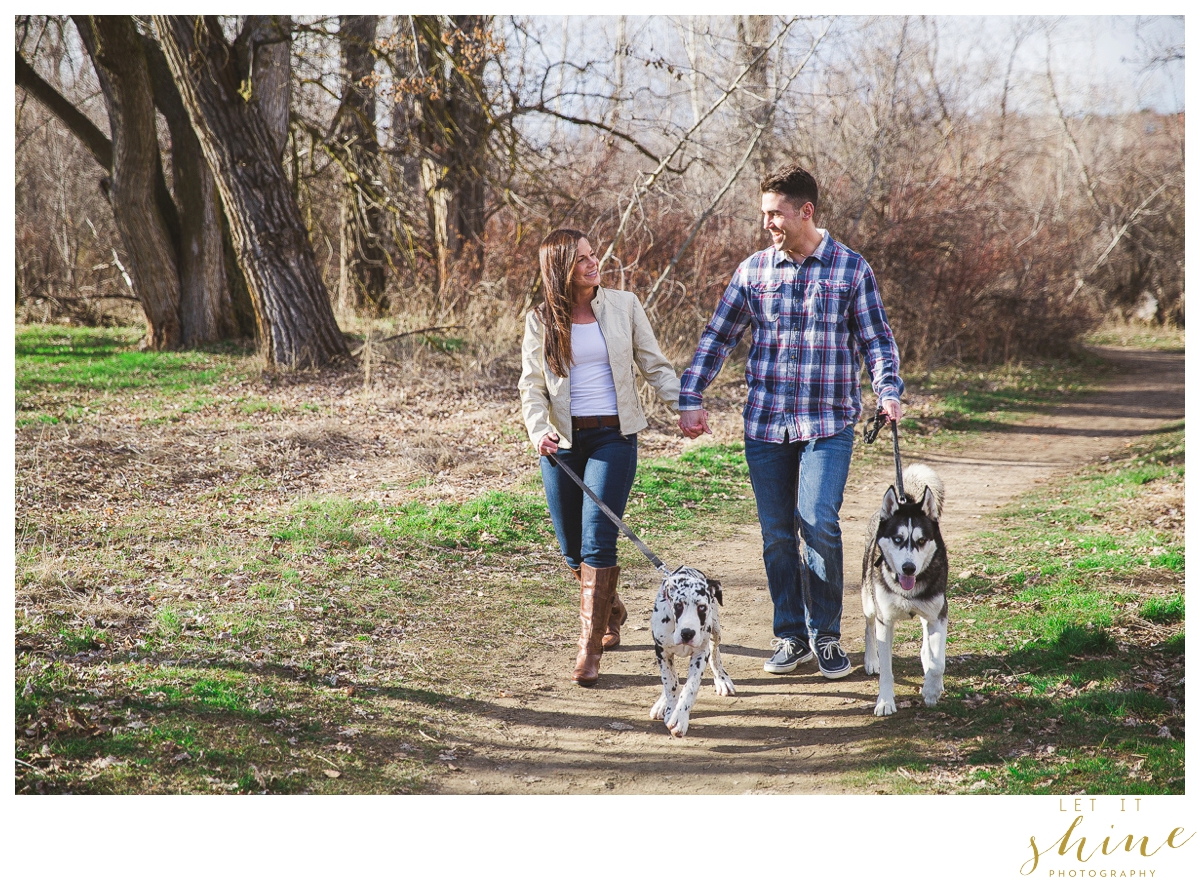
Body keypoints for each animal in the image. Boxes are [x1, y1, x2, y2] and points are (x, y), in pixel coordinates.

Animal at [652, 561, 734, 734]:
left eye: (702, 607)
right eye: (678, 605)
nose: (687, 633)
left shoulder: (700, 653)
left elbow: (691, 687)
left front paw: (680, 717)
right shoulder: (662, 652)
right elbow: (670, 683)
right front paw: (671, 708)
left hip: (716, 631)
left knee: (715, 651)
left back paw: (722, 679)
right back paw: (662, 704)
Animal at [864, 461, 945, 715]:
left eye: (921, 540)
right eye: (898, 539)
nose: (908, 568)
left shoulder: (939, 615)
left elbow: (938, 662)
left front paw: (931, 689)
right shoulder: (885, 621)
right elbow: (887, 671)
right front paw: (885, 702)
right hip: (868, 601)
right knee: (868, 625)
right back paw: (870, 660)